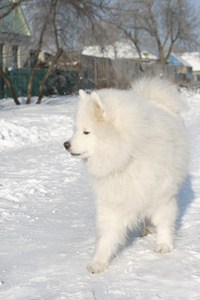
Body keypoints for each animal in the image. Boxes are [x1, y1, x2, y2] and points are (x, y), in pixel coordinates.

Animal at [64, 77, 189, 274]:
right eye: (76, 130)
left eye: (86, 131)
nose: (65, 144)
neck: (128, 155)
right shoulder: (113, 199)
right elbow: (107, 235)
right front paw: (99, 261)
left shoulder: (161, 194)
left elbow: (163, 221)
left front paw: (164, 245)